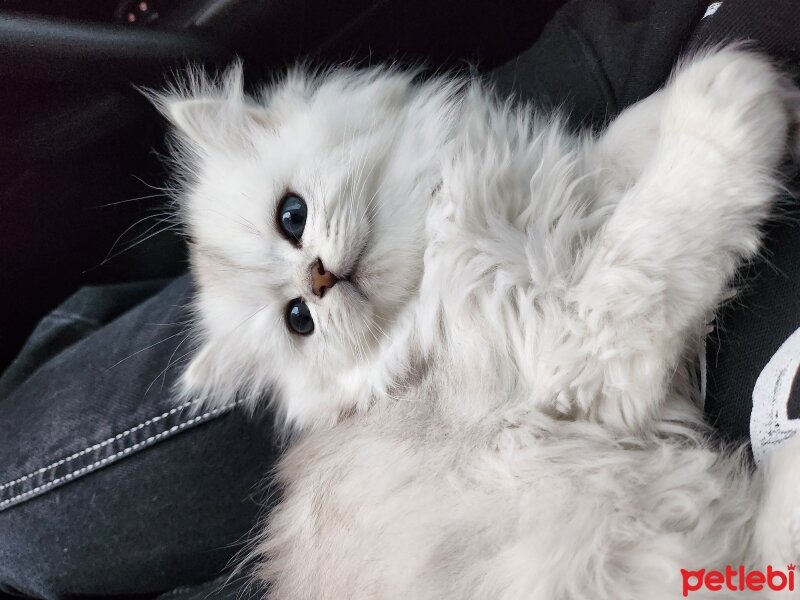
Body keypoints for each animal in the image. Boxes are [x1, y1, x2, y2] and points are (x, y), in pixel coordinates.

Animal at [155, 49, 800, 596]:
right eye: (298, 321)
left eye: (291, 216)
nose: (317, 281)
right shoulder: (570, 350)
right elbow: (652, 225)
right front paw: (728, 88)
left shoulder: (555, 192)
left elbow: (607, 152)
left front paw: (689, 94)